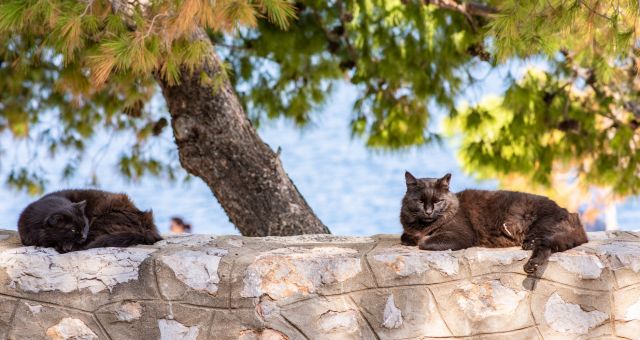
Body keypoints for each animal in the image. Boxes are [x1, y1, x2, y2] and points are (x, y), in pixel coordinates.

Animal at [400, 173, 592, 274]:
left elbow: (424, 242)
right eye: (420, 201)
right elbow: (405, 237)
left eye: (438, 201)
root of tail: (572, 215)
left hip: (542, 229)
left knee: (543, 247)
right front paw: (410, 238)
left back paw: (531, 264)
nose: (428, 211)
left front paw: (421, 239)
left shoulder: (460, 235)